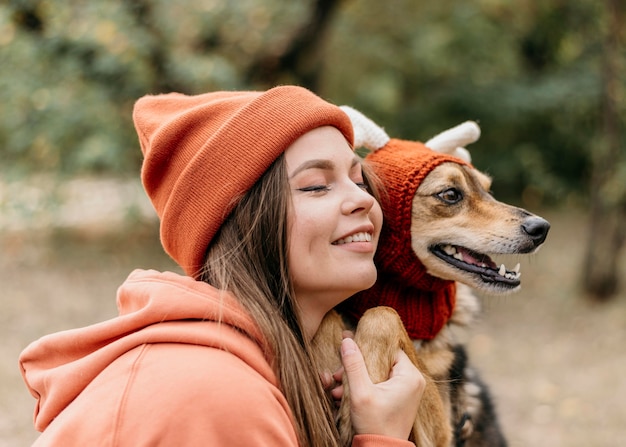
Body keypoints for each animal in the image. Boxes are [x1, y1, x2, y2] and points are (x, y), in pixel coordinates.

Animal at [310, 109, 544, 447]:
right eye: (450, 194)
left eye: (488, 191)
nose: (542, 228)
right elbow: (331, 316)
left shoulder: (444, 432)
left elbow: (382, 315)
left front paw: (359, 402)